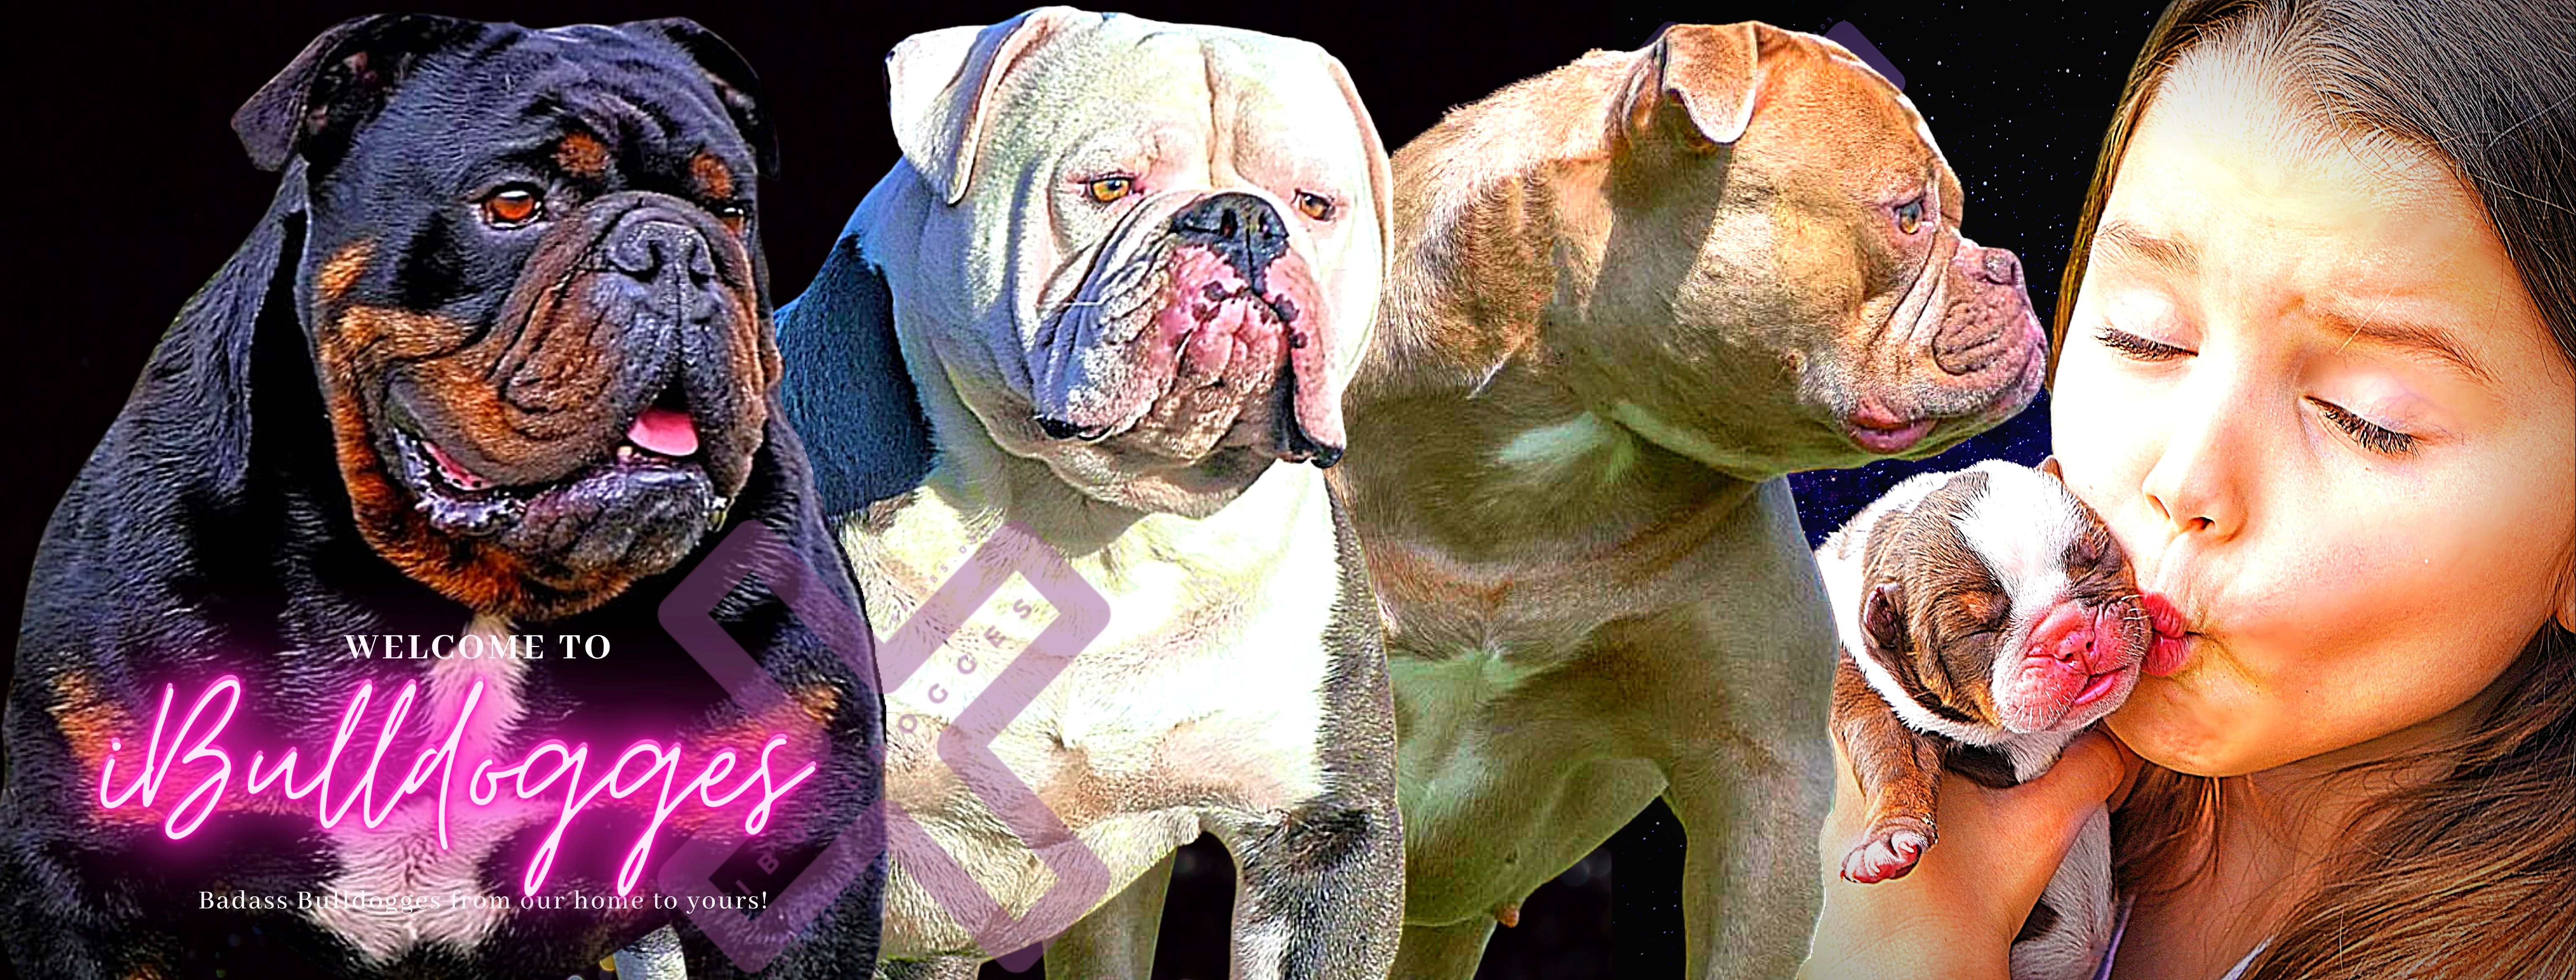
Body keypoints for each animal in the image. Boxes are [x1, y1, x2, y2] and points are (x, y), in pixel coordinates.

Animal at [1, 16, 887, 979]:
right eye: (514, 205)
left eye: (731, 213)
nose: (678, 251)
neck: (474, 600)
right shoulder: (85, 885)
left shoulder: (790, 866)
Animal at [1814, 458, 2186, 980]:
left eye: (2094, 557)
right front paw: (1888, 838)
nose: (2071, 635)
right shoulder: (1860, 689)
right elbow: (1891, 755)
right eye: (1979, 630)